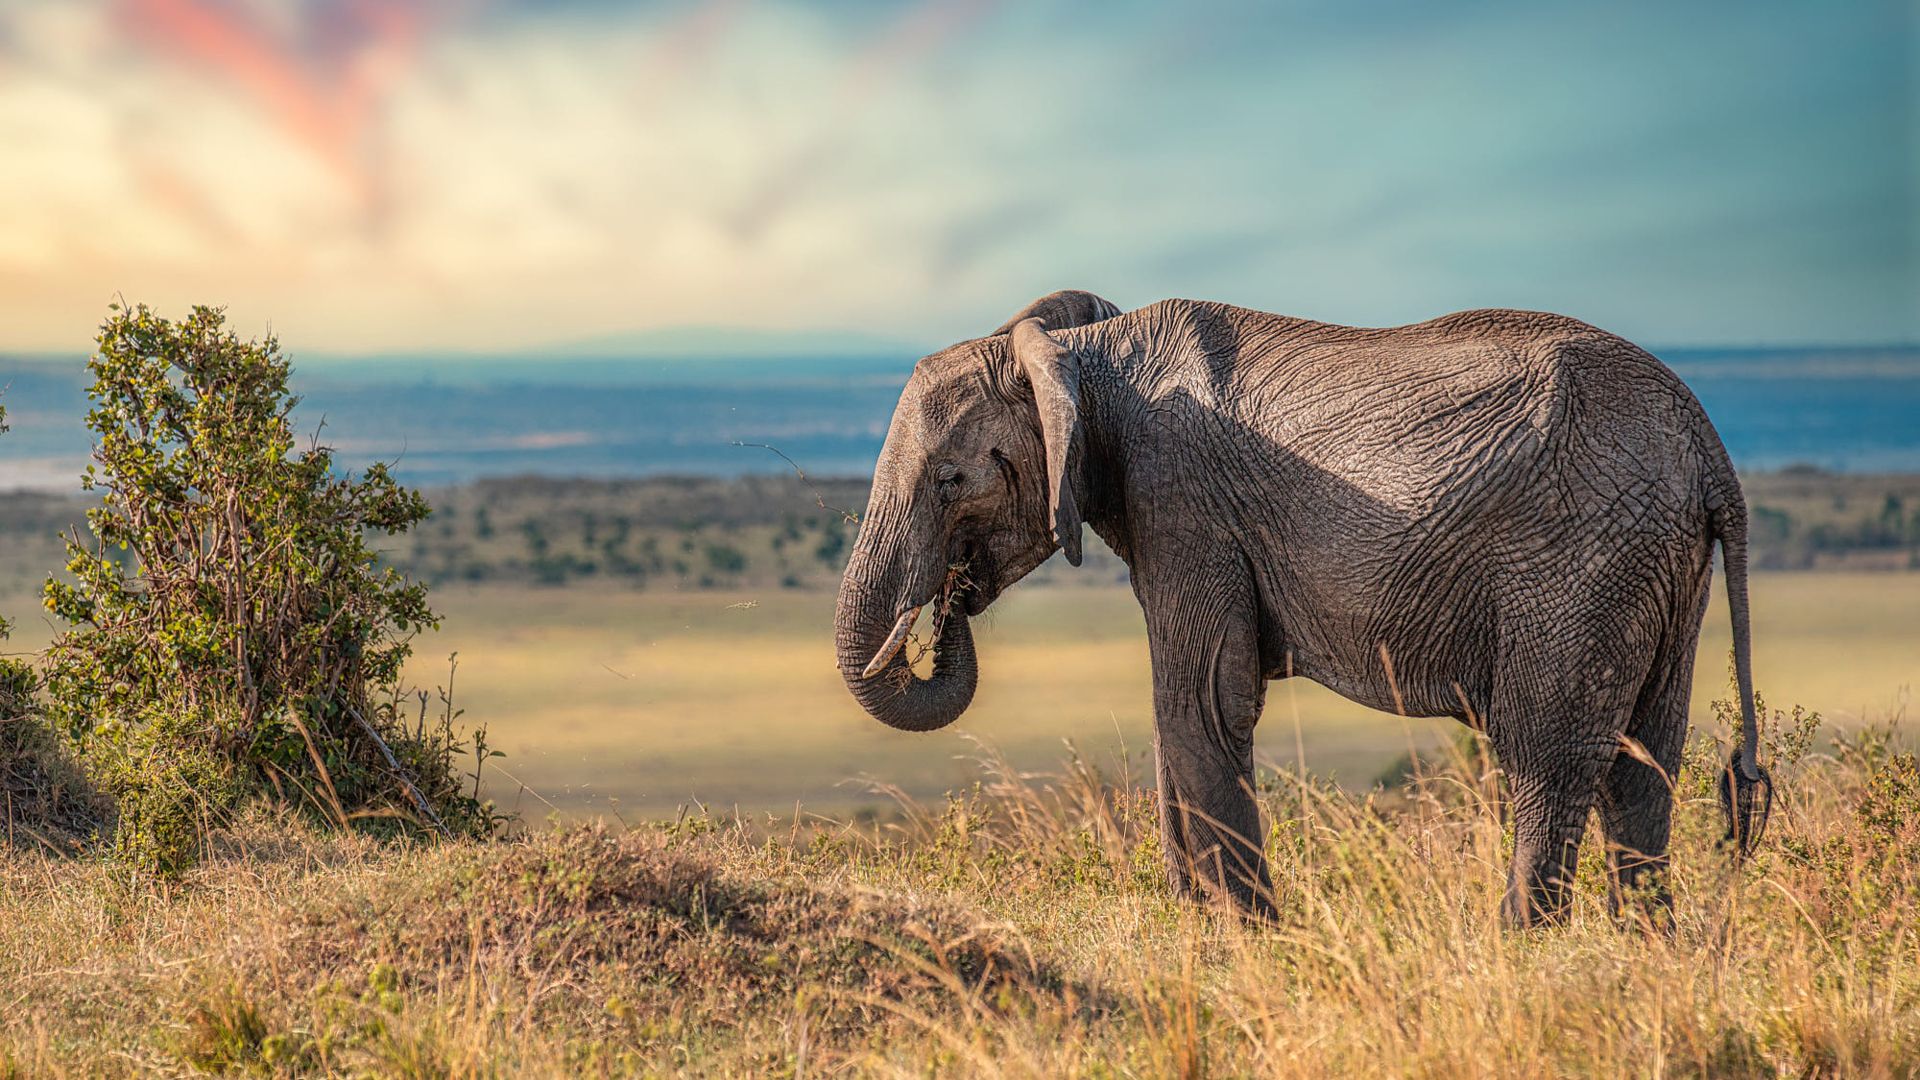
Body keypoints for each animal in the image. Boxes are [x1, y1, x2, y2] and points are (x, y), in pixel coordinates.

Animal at [837, 290, 1766, 922]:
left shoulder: (1185, 503)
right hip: (1657, 568)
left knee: (1549, 757)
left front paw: (1248, 943)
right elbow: (1183, 713)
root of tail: (1710, 451)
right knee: (1644, 765)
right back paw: (1642, 953)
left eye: (952, 481)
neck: (1079, 354)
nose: (950, 601)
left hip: (1584, 561)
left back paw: (1521, 951)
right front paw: (1202, 931)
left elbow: (1203, 701)